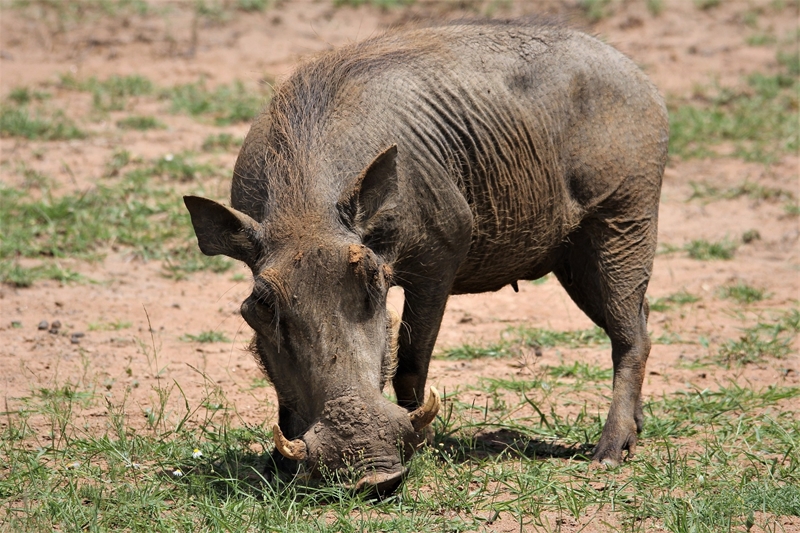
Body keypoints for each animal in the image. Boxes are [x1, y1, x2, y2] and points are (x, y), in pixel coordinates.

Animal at [184, 18, 668, 494]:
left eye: (373, 282)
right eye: (262, 304)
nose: (371, 475)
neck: (308, 210)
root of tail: (639, 75)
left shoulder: (439, 259)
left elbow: (412, 361)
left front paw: (425, 449)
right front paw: (278, 467)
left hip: (625, 223)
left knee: (631, 338)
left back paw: (609, 452)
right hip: (574, 261)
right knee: (639, 319)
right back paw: (636, 432)